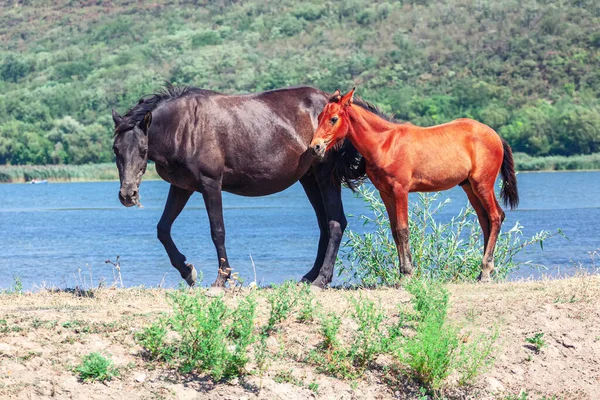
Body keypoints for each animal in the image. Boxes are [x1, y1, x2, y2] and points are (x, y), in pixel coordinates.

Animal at [112, 86, 366, 288]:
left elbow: (218, 231)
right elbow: (163, 229)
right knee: (324, 225)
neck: (184, 127)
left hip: (325, 176)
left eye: (143, 150)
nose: (127, 195)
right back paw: (310, 276)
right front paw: (187, 271)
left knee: (335, 223)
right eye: (115, 149)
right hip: (309, 178)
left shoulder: (210, 183)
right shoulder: (182, 187)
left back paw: (322, 279)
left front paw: (221, 278)